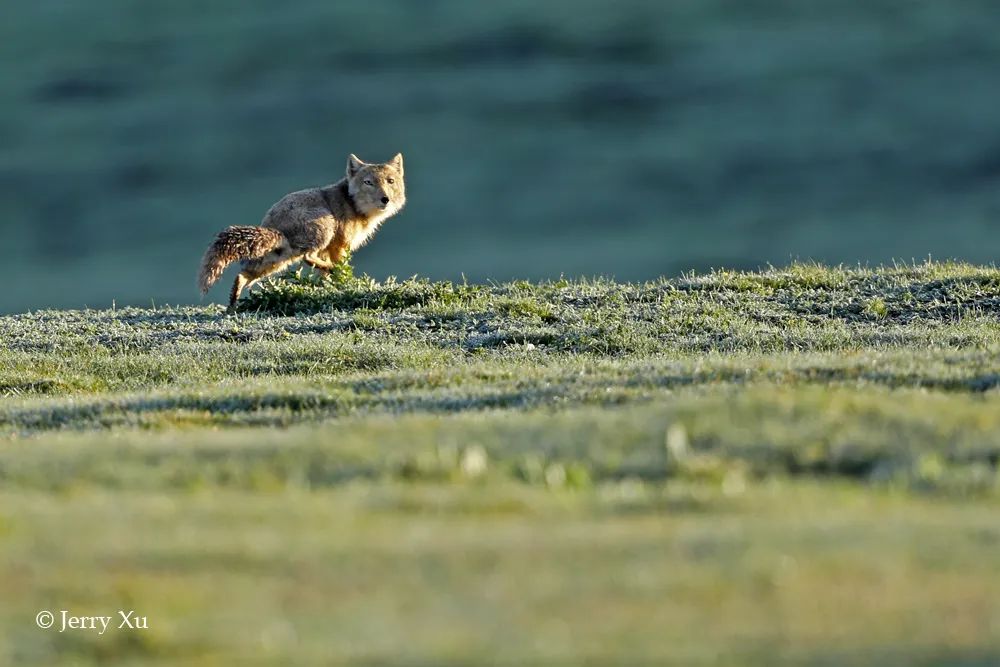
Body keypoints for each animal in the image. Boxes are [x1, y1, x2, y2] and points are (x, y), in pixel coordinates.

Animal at [197, 153, 404, 312]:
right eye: (368, 182)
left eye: (390, 181)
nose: (385, 199)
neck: (353, 204)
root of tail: (273, 225)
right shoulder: (339, 246)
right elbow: (338, 269)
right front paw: (342, 281)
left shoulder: (327, 250)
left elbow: (323, 276)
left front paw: (327, 286)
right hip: (324, 228)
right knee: (307, 256)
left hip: (276, 262)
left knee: (242, 275)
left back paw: (233, 304)